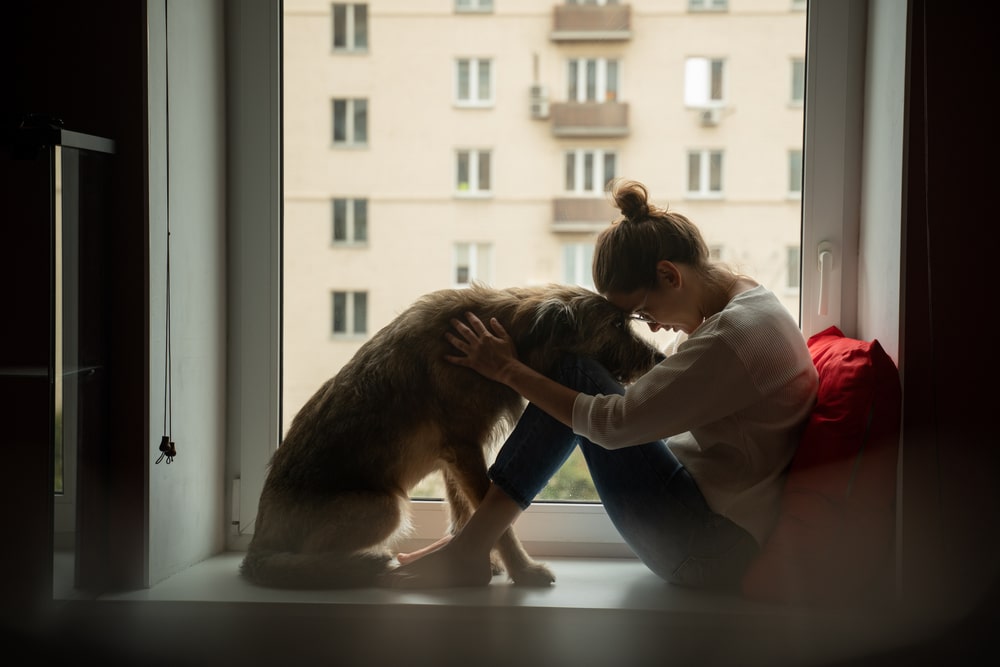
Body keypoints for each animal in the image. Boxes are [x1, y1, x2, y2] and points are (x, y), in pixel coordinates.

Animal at [240, 284, 664, 588]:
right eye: (615, 326)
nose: (660, 359)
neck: (507, 329)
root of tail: (257, 544)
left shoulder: (454, 458)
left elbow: (464, 512)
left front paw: (482, 563)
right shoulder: (464, 449)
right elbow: (499, 524)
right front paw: (521, 571)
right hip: (386, 508)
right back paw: (364, 564)